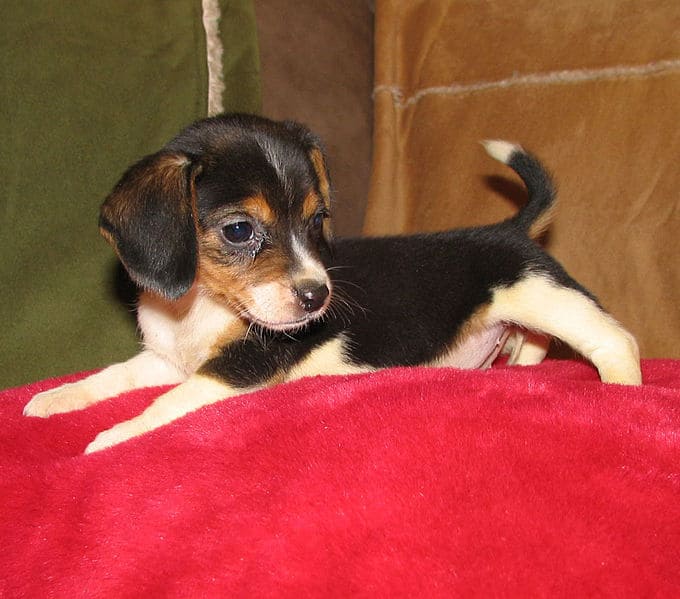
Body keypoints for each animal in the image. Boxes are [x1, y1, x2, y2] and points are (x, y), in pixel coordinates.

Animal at [23, 112, 640, 452]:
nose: (318, 297)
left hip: (542, 293)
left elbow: (166, 405)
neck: (203, 307)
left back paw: (622, 392)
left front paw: (114, 436)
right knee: (532, 343)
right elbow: (112, 376)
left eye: (317, 220)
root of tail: (509, 226)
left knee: (614, 339)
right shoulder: (166, 359)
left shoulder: (238, 367)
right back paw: (516, 370)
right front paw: (55, 398)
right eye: (240, 229)